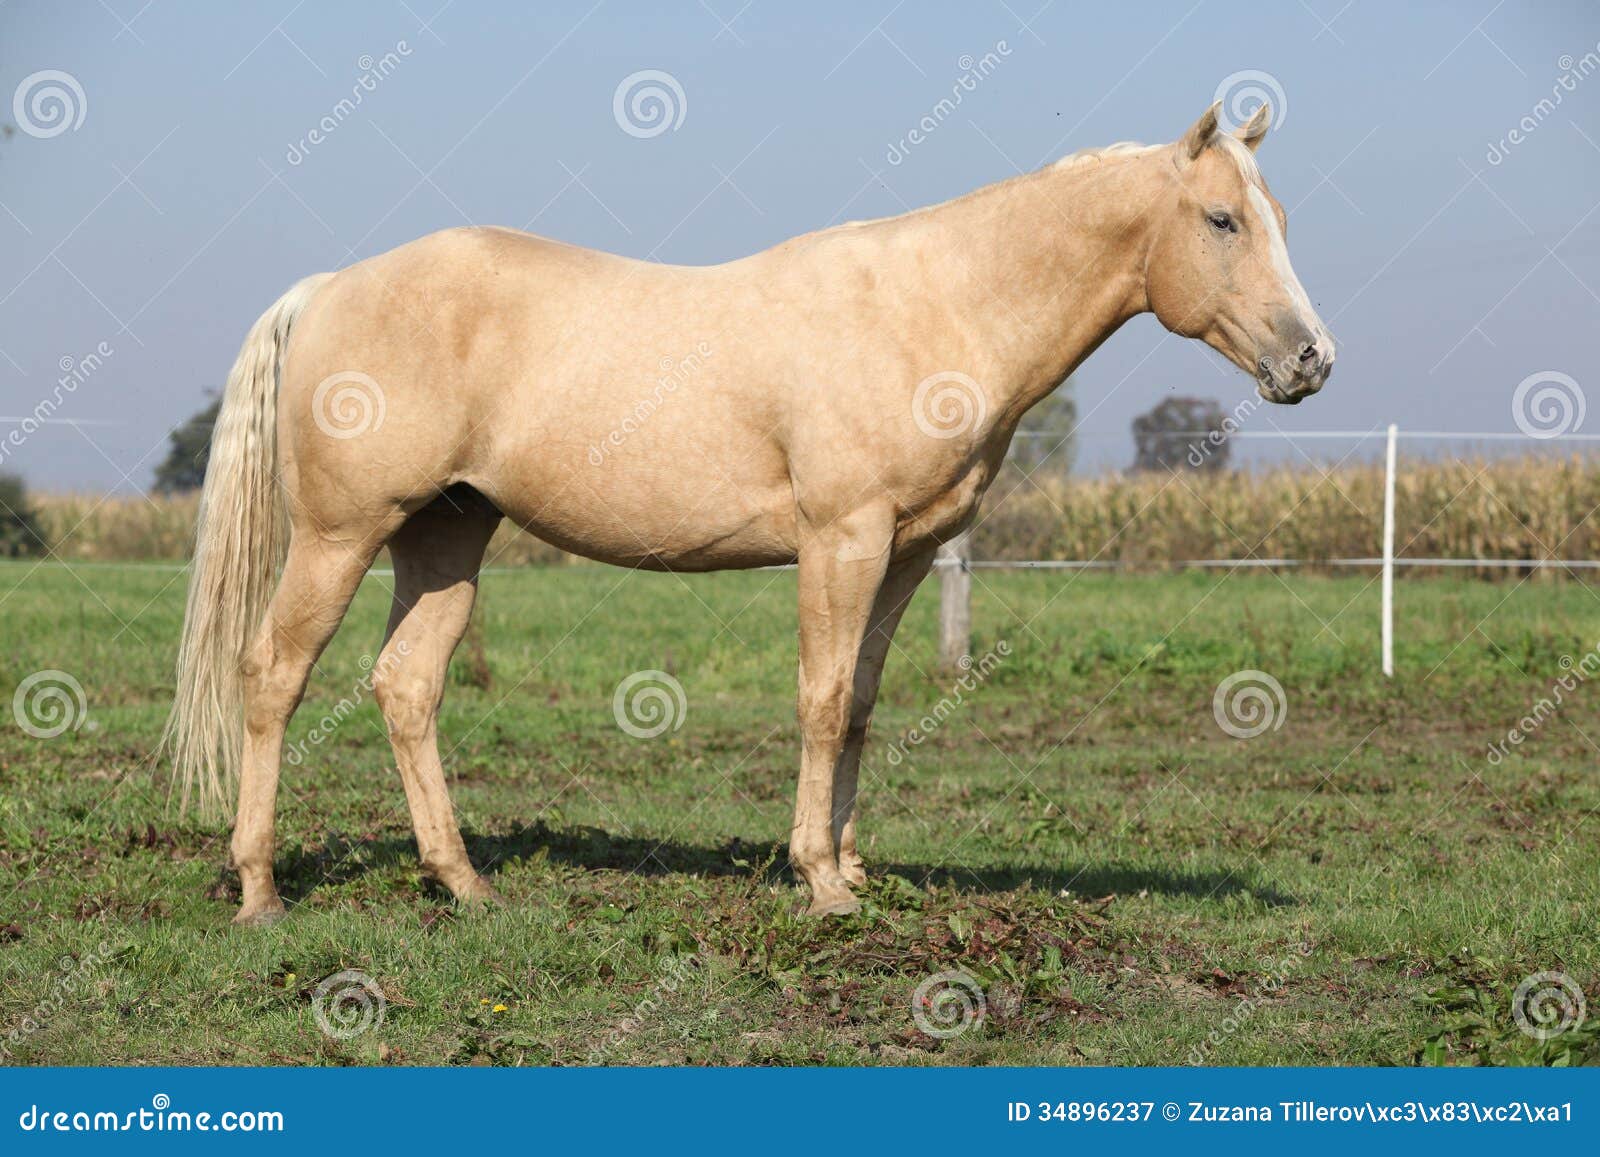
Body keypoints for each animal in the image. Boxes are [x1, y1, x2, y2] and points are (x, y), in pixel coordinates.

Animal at [162, 104, 1331, 928]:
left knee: (407, 685)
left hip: (447, 533)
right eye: (1221, 219)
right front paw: (821, 881)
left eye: (1281, 218)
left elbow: (860, 703)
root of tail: (326, 287)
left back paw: (467, 885)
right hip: (340, 535)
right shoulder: (840, 538)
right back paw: (260, 889)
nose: (1311, 361)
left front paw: (853, 862)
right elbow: (819, 699)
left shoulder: (906, 554)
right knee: (272, 676)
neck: (935, 304)